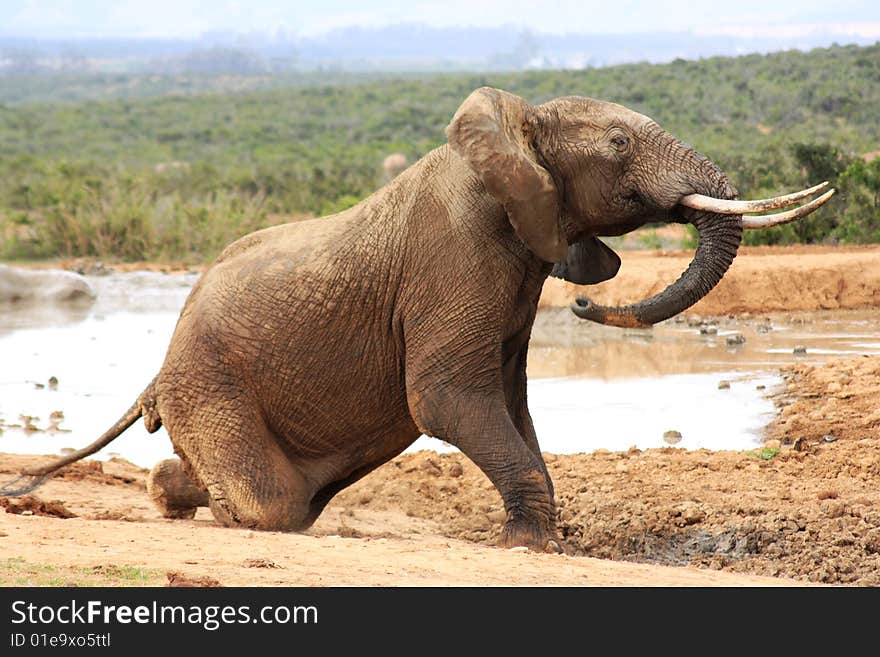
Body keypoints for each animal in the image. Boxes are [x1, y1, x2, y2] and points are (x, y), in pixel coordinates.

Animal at [5, 86, 832, 548]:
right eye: (621, 142)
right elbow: (447, 398)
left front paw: (543, 537)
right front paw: (529, 544)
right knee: (275, 504)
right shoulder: (456, 255)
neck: (513, 129)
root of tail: (158, 369)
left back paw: (167, 494)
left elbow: (510, 404)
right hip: (208, 382)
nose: (586, 304)